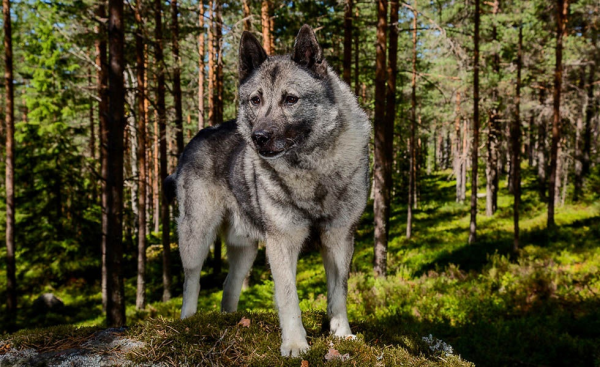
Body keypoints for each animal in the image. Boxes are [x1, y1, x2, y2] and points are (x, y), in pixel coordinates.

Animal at [168, 24, 370, 358]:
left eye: (290, 99)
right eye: (255, 100)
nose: (258, 136)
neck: (310, 166)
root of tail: (198, 136)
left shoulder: (339, 239)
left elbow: (338, 292)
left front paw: (342, 334)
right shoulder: (282, 243)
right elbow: (288, 296)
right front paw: (295, 343)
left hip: (245, 249)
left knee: (229, 285)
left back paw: (231, 320)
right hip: (196, 237)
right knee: (192, 281)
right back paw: (189, 321)